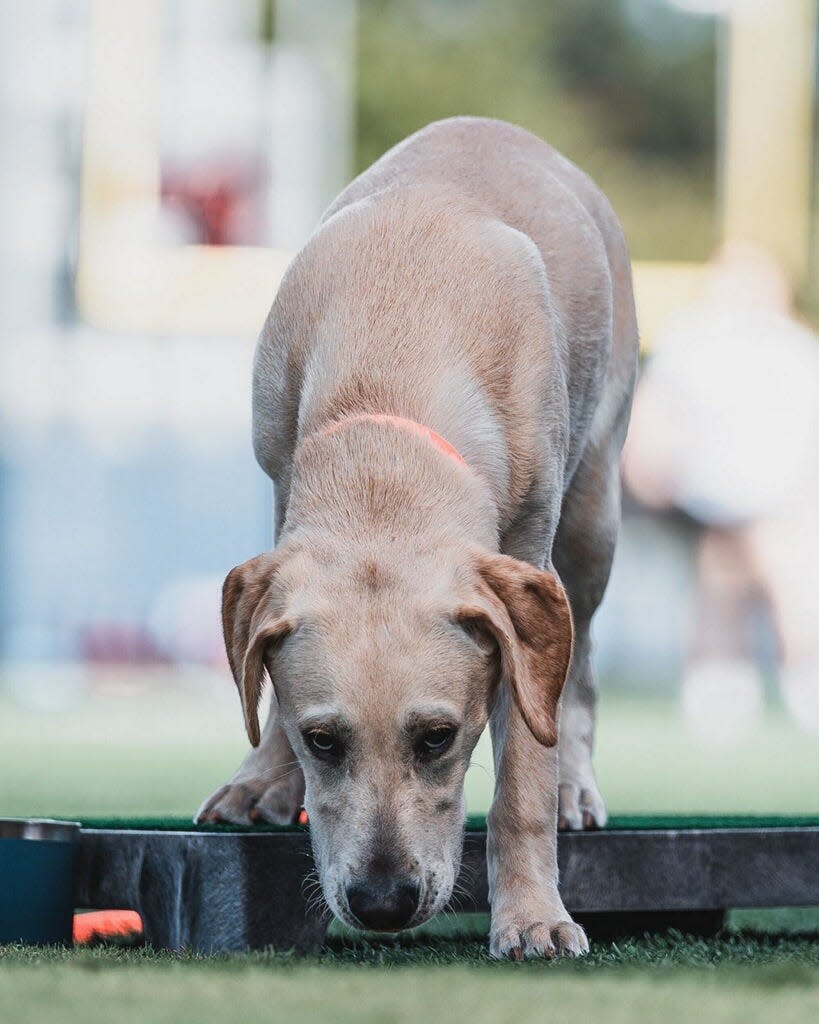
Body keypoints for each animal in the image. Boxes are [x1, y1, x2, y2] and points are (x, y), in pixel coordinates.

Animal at [196, 119, 638, 958]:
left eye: (437, 737)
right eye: (322, 740)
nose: (381, 903)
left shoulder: (526, 567)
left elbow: (524, 772)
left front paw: (531, 915)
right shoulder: (281, 493)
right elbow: (261, 674)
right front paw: (266, 774)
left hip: (593, 515)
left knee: (581, 668)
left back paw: (575, 781)